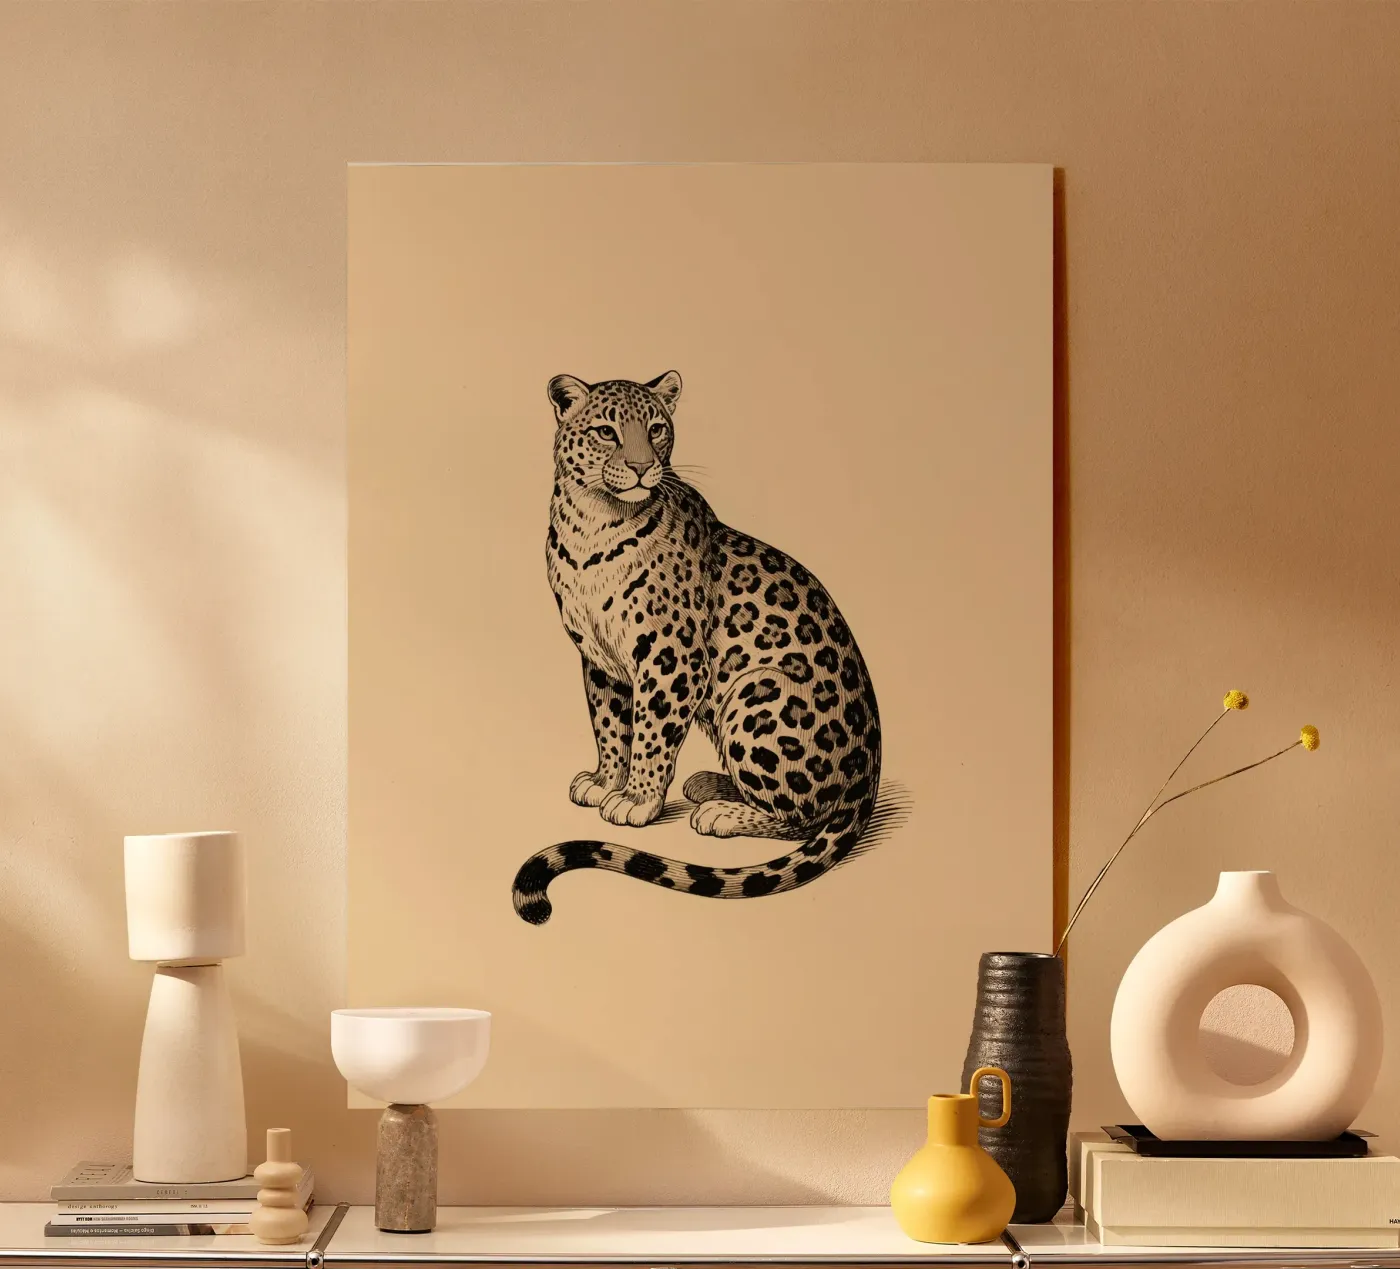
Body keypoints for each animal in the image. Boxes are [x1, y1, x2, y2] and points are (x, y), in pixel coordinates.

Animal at [511, 370, 882, 925]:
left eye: (657, 428)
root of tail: (869, 777)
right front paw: (605, 780)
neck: (592, 522)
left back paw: (721, 811)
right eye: (606, 431)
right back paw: (710, 783)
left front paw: (637, 800)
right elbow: (610, 726)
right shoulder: (599, 660)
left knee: (804, 817)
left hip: (758, 695)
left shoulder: (672, 659)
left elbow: (651, 734)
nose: (642, 467)